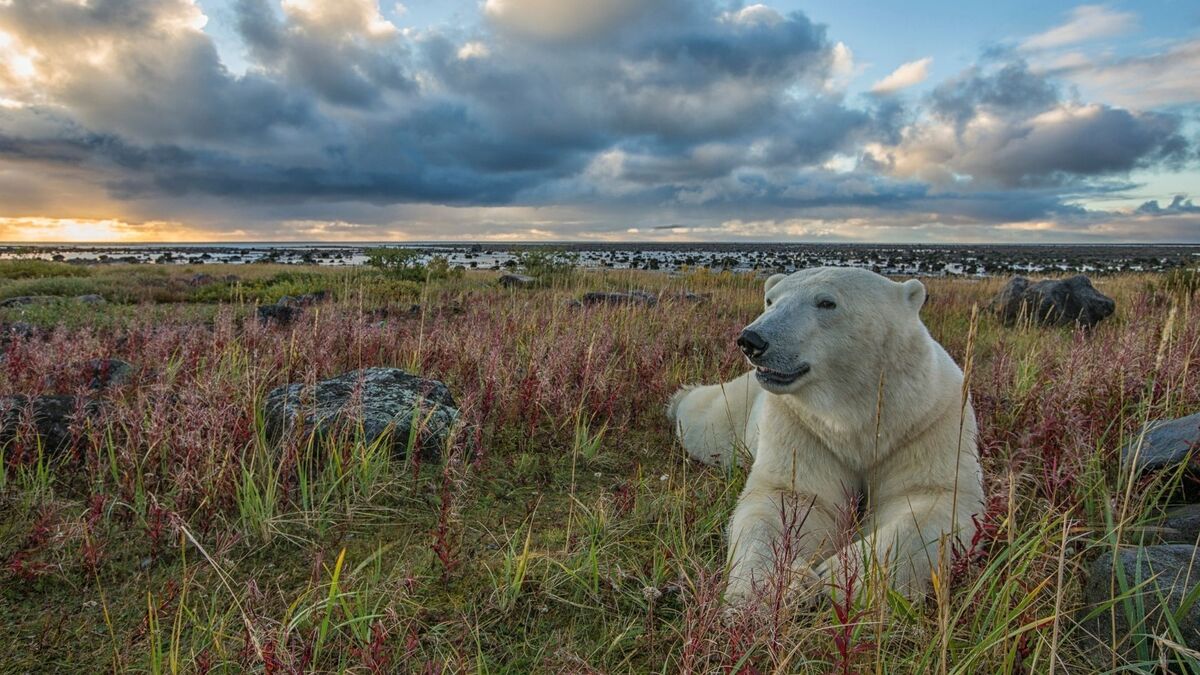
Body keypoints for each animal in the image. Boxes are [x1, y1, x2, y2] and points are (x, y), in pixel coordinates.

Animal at [667, 265, 984, 600]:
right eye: (770, 299)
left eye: (826, 302)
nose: (751, 340)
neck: (856, 417)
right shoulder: (802, 424)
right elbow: (790, 498)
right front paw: (766, 588)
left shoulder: (927, 422)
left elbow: (929, 502)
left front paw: (833, 578)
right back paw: (678, 400)